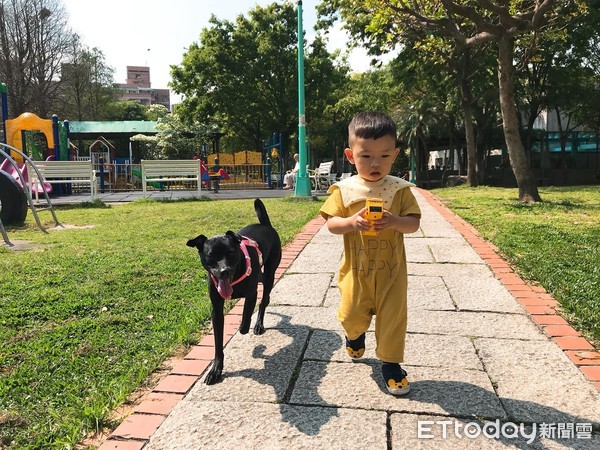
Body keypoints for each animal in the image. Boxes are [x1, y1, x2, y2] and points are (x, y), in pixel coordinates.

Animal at [186, 197, 282, 384]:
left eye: (231, 253)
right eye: (210, 255)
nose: (224, 271)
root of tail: (266, 225)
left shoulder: (251, 294)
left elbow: (245, 320)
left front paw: (246, 329)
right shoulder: (216, 309)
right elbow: (218, 342)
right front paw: (216, 370)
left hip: (270, 273)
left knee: (264, 299)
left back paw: (258, 324)